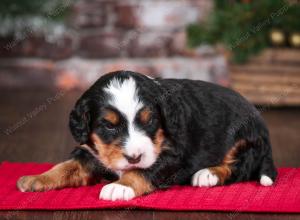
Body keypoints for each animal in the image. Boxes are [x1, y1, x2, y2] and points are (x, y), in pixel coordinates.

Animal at [17, 71, 278, 201]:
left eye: (149, 120)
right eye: (108, 126)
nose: (133, 157)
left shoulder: (175, 156)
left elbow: (143, 170)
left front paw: (120, 186)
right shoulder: (91, 151)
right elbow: (67, 166)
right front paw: (36, 178)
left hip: (244, 140)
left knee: (239, 166)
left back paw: (208, 174)